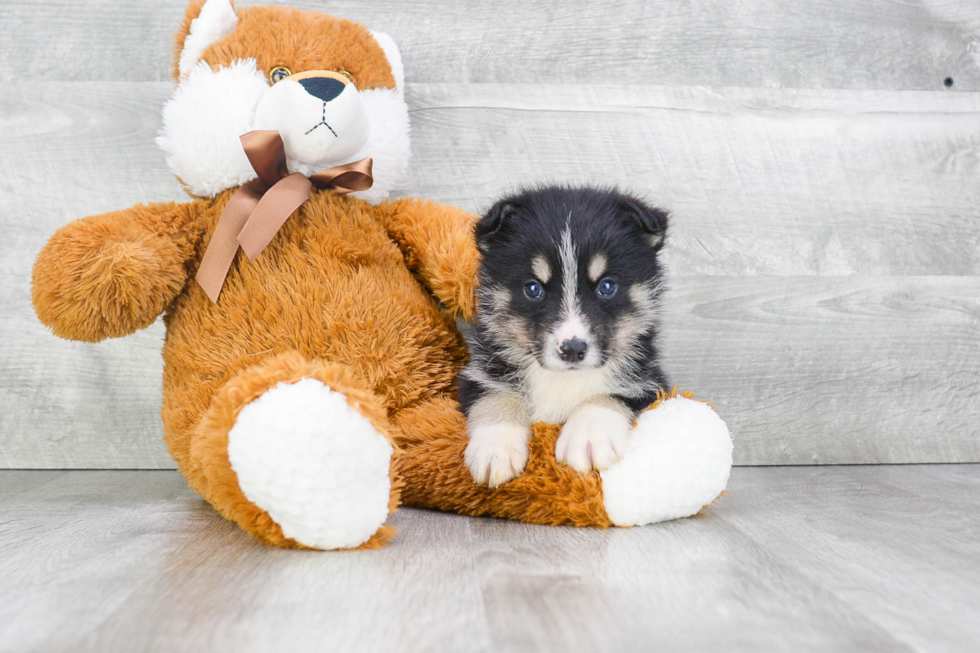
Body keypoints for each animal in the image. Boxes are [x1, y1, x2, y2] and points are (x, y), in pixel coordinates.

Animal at [464, 186, 668, 486]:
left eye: (607, 286)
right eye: (533, 288)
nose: (572, 349)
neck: (562, 380)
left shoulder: (651, 383)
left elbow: (608, 395)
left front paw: (590, 438)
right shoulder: (478, 374)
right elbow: (497, 396)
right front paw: (495, 448)